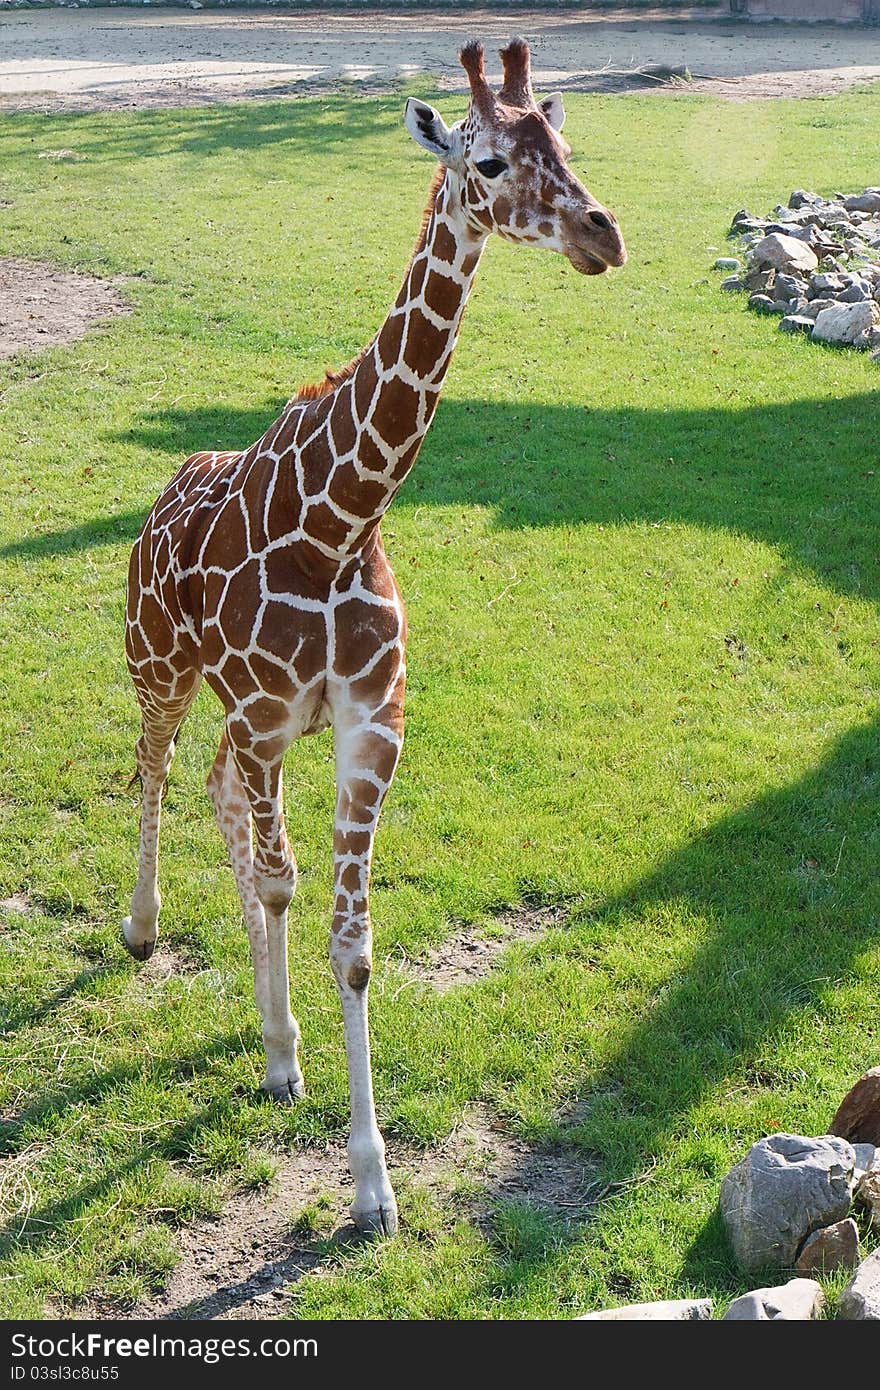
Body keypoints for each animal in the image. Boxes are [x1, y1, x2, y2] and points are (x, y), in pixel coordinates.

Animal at [123, 35, 625, 1239]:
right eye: (486, 161)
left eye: (564, 142)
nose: (603, 235)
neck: (340, 519)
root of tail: (165, 489)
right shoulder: (271, 717)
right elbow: (280, 883)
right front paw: (296, 1072)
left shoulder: (363, 729)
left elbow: (348, 943)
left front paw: (366, 1175)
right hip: (160, 665)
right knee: (155, 769)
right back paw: (142, 926)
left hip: (239, 718)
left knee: (214, 793)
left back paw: (270, 1035)